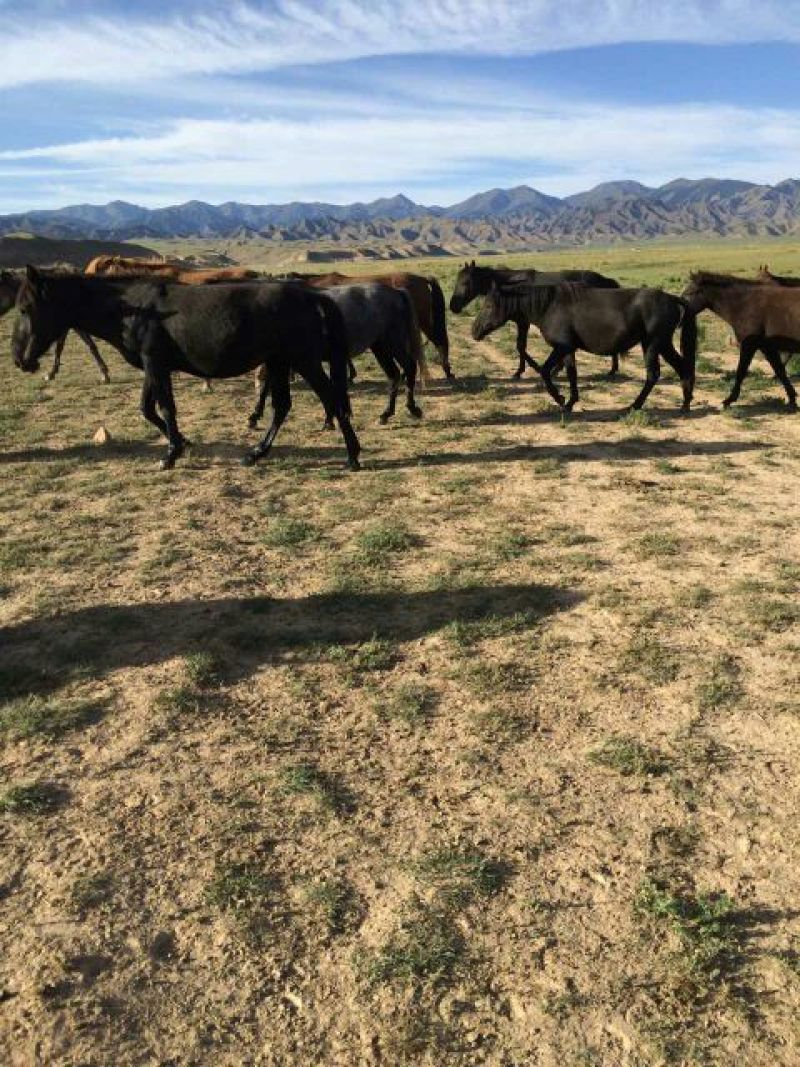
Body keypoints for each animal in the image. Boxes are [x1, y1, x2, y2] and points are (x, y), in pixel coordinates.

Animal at [11, 267, 361, 470]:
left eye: (26, 309)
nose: (18, 359)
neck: (133, 309)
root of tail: (311, 295)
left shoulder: (155, 363)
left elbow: (165, 407)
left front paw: (170, 454)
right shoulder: (154, 365)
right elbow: (147, 409)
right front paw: (182, 442)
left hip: (302, 360)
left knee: (332, 400)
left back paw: (353, 456)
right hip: (279, 362)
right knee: (283, 407)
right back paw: (255, 453)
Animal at [251, 282, 428, 431]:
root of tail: (396, 292)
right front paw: (255, 416)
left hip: (393, 343)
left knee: (410, 367)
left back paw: (412, 408)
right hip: (380, 348)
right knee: (394, 375)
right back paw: (386, 414)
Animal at [450, 260, 622, 378]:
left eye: (465, 282)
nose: (453, 306)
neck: (514, 286)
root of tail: (607, 281)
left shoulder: (523, 323)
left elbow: (521, 346)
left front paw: (523, 371)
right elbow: (521, 346)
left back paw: (612, 370)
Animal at [472, 281, 696, 414]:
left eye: (488, 306)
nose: (474, 331)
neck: (549, 306)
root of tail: (672, 298)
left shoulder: (561, 348)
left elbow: (545, 371)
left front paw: (560, 399)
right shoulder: (569, 350)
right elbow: (572, 374)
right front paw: (570, 402)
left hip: (652, 344)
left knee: (653, 374)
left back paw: (634, 405)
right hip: (662, 344)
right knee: (682, 367)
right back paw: (685, 404)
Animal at [682, 272, 799, 410]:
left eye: (689, 293)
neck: (744, 304)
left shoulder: (749, 344)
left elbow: (741, 371)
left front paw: (729, 400)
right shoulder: (766, 347)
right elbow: (780, 370)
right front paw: (792, 398)